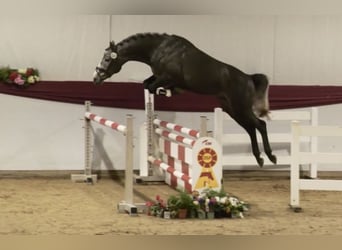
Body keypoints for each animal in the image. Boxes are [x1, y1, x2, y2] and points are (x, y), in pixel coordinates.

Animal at [94, 32, 278, 166]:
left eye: (108, 58)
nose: (96, 78)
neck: (159, 49)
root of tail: (248, 78)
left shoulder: (167, 77)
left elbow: (153, 86)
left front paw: (166, 92)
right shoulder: (159, 77)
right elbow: (147, 85)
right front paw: (163, 94)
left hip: (240, 107)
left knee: (260, 125)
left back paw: (270, 156)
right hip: (232, 109)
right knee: (251, 128)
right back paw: (260, 158)